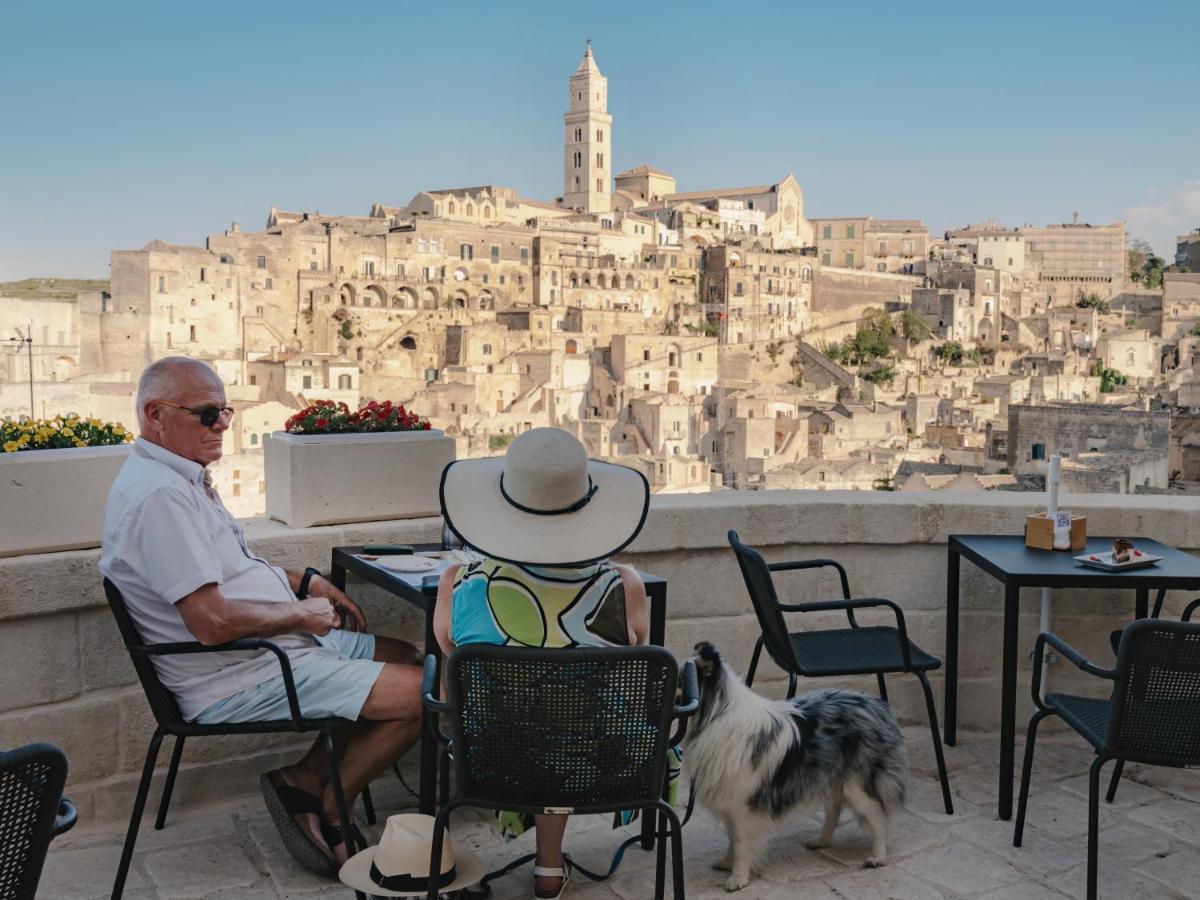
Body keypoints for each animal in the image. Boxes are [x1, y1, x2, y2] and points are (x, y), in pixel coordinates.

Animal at [681, 643, 902, 892]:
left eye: (682, 680)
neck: (718, 715)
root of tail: (878, 705)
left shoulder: (745, 805)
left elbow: (741, 843)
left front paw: (737, 878)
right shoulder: (731, 802)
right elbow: (732, 838)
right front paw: (728, 863)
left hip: (857, 786)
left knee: (878, 816)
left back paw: (878, 857)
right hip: (829, 778)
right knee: (833, 813)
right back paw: (820, 842)